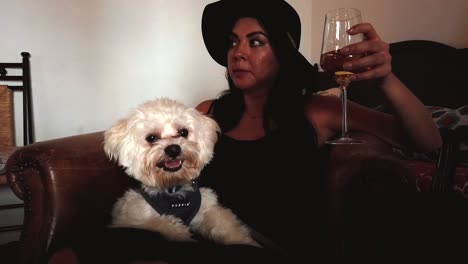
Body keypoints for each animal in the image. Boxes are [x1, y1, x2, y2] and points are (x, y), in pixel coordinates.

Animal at [103, 97, 260, 248]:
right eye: (151, 138)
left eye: (183, 132)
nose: (173, 149)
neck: (173, 189)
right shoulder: (136, 217)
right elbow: (162, 225)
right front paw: (180, 233)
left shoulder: (207, 209)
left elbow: (226, 225)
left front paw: (245, 242)